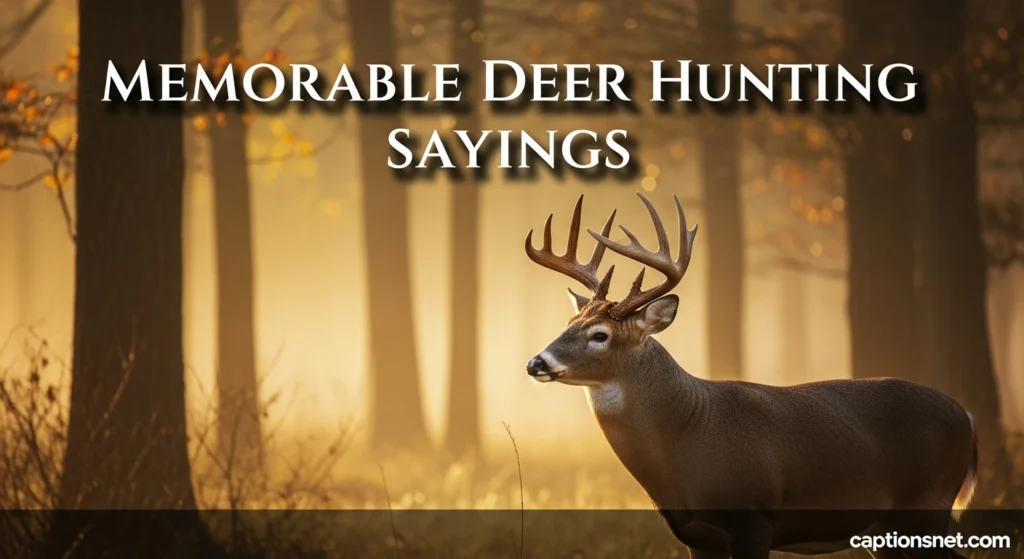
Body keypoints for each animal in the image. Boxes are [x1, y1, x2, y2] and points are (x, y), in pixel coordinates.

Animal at [524, 193, 978, 559]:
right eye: (570, 321)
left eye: (600, 335)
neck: (689, 437)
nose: (536, 362)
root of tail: (968, 418)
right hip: (888, 529)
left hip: (926, 507)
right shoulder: (695, 537)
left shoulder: (755, 520)